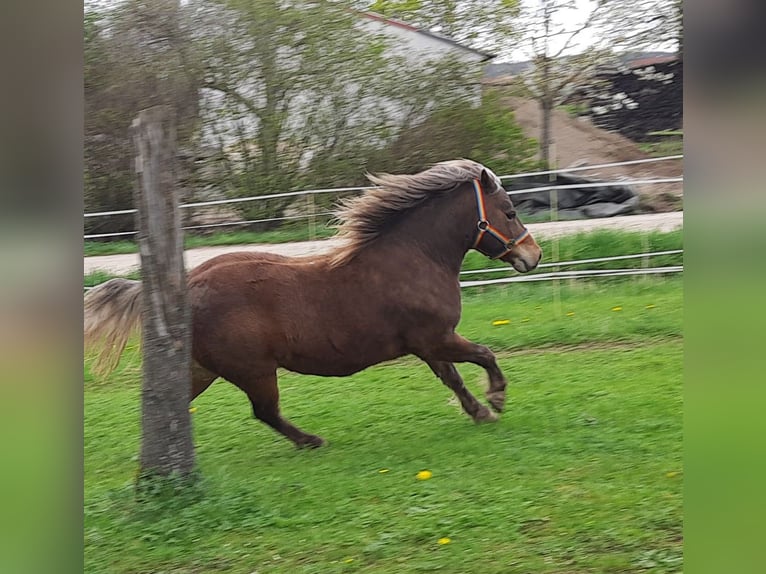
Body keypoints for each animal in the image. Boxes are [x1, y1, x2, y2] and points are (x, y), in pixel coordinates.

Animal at [85, 161, 540, 450]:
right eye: (509, 211)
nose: (532, 256)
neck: (414, 258)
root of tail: (188, 284)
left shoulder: (428, 345)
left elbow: (453, 379)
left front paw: (480, 412)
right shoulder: (436, 338)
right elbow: (484, 354)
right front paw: (497, 399)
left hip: (203, 369)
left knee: (176, 407)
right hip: (253, 370)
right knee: (265, 411)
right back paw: (311, 440)